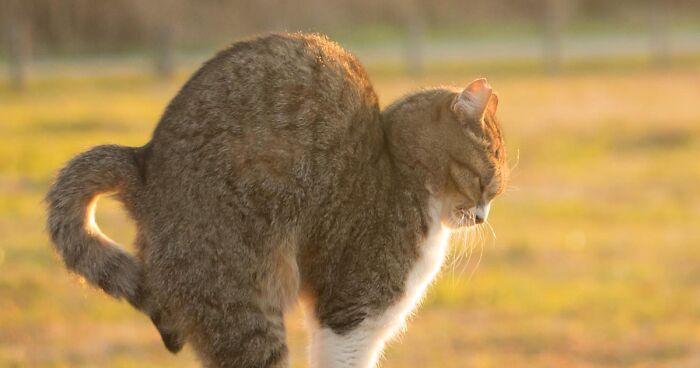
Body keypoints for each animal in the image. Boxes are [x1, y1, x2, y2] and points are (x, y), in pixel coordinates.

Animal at [47, 32, 508, 368]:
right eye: (487, 183)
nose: (483, 217)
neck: (400, 170)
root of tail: (144, 162)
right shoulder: (350, 314)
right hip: (239, 301)